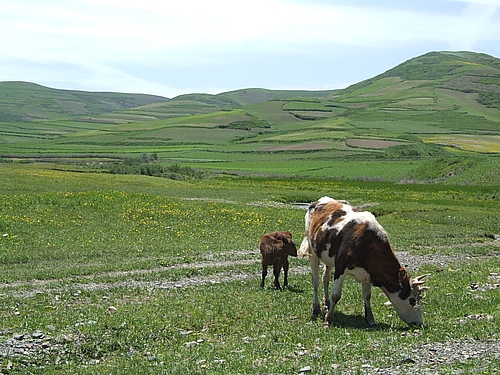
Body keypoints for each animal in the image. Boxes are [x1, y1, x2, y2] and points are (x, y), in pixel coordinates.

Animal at [298, 198, 428, 328]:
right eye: (412, 300)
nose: (419, 323)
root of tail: (321, 200)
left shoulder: (368, 274)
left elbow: (367, 296)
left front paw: (370, 319)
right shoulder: (341, 267)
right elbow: (336, 295)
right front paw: (328, 318)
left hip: (327, 257)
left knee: (325, 278)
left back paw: (326, 303)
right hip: (312, 252)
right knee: (316, 281)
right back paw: (316, 308)